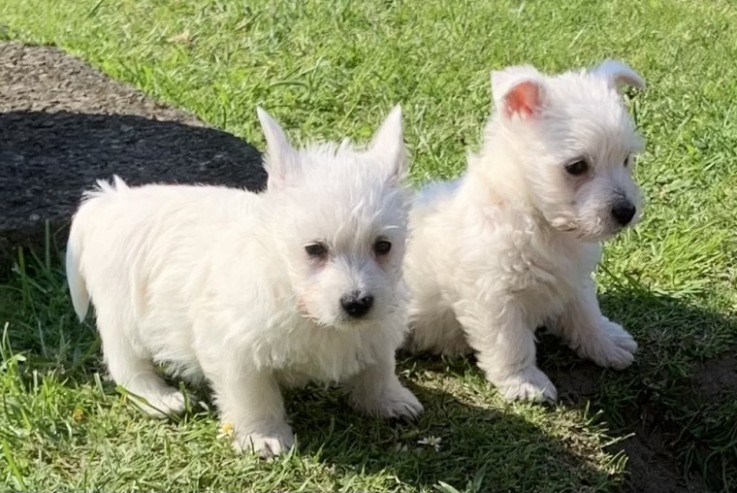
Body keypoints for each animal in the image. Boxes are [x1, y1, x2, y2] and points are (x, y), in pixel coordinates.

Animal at [66, 105, 422, 456]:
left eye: (383, 246)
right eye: (314, 249)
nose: (357, 303)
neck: (298, 300)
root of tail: (110, 201)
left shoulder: (377, 330)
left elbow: (378, 368)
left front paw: (389, 400)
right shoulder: (236, 350)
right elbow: (254, 395)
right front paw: (262, 436)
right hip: (122, 314)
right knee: (126, 362)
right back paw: (159, 398)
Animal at [406, 60, 648, 400]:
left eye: (626, 159)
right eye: (577, 166)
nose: (626, 212)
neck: (536, 220)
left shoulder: (573, 279)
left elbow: (586, 312)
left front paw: (606, 342)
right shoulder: (494, 295)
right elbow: (510, 341)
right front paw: (525, 382)